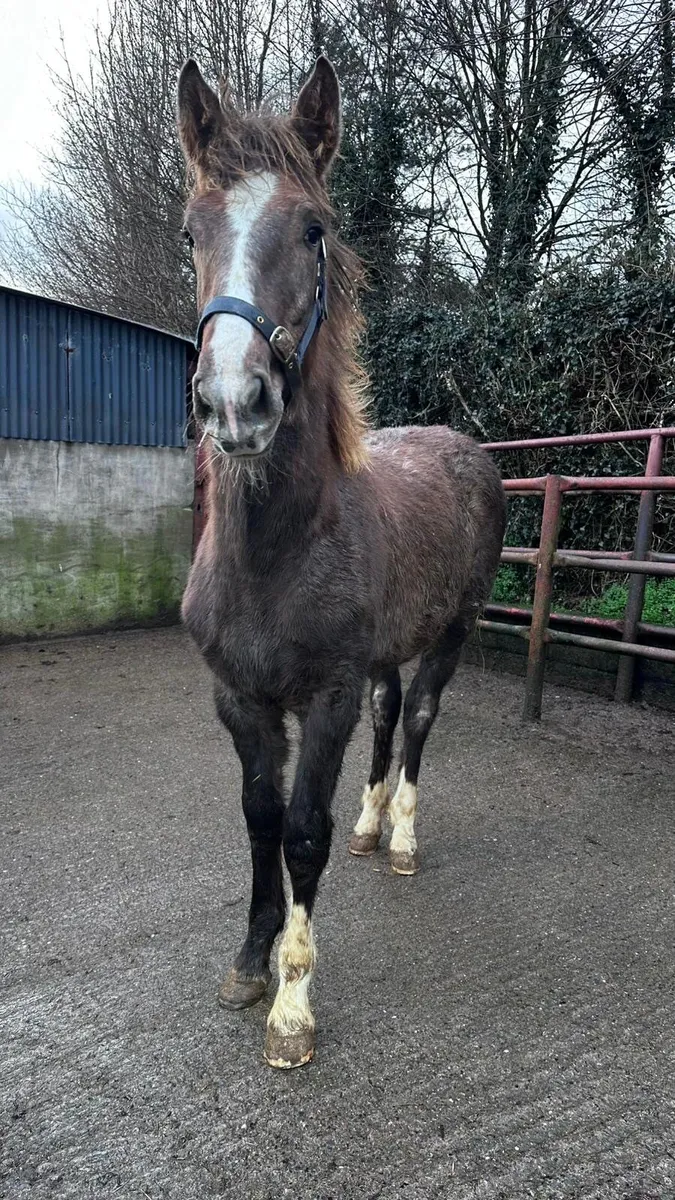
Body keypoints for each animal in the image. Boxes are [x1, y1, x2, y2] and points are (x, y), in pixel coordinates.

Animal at [177, 55, 506, 1069]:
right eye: (192, 231)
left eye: (312, 229)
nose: (234, 403)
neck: (274, 557)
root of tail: (464, 445)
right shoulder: (238, 698)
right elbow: (258, 819)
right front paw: (249, 964)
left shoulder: (322, 698)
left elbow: (301, 835)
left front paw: (292, 1007)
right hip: (388, 651)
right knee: (391, 710)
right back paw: (372, 826)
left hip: (451, 633)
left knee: (420, 719)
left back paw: (397, 839)